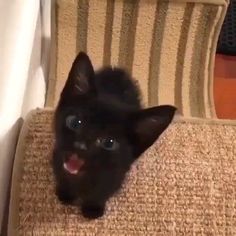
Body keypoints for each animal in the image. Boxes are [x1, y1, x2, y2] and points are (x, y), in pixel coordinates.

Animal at [52, 51, 176, 219]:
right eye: (74, 122)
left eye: (109, 143)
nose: (80, 146)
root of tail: (117, 70)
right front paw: (65, 193)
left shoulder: (116, 175)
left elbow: (101, 192)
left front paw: (92, 208)